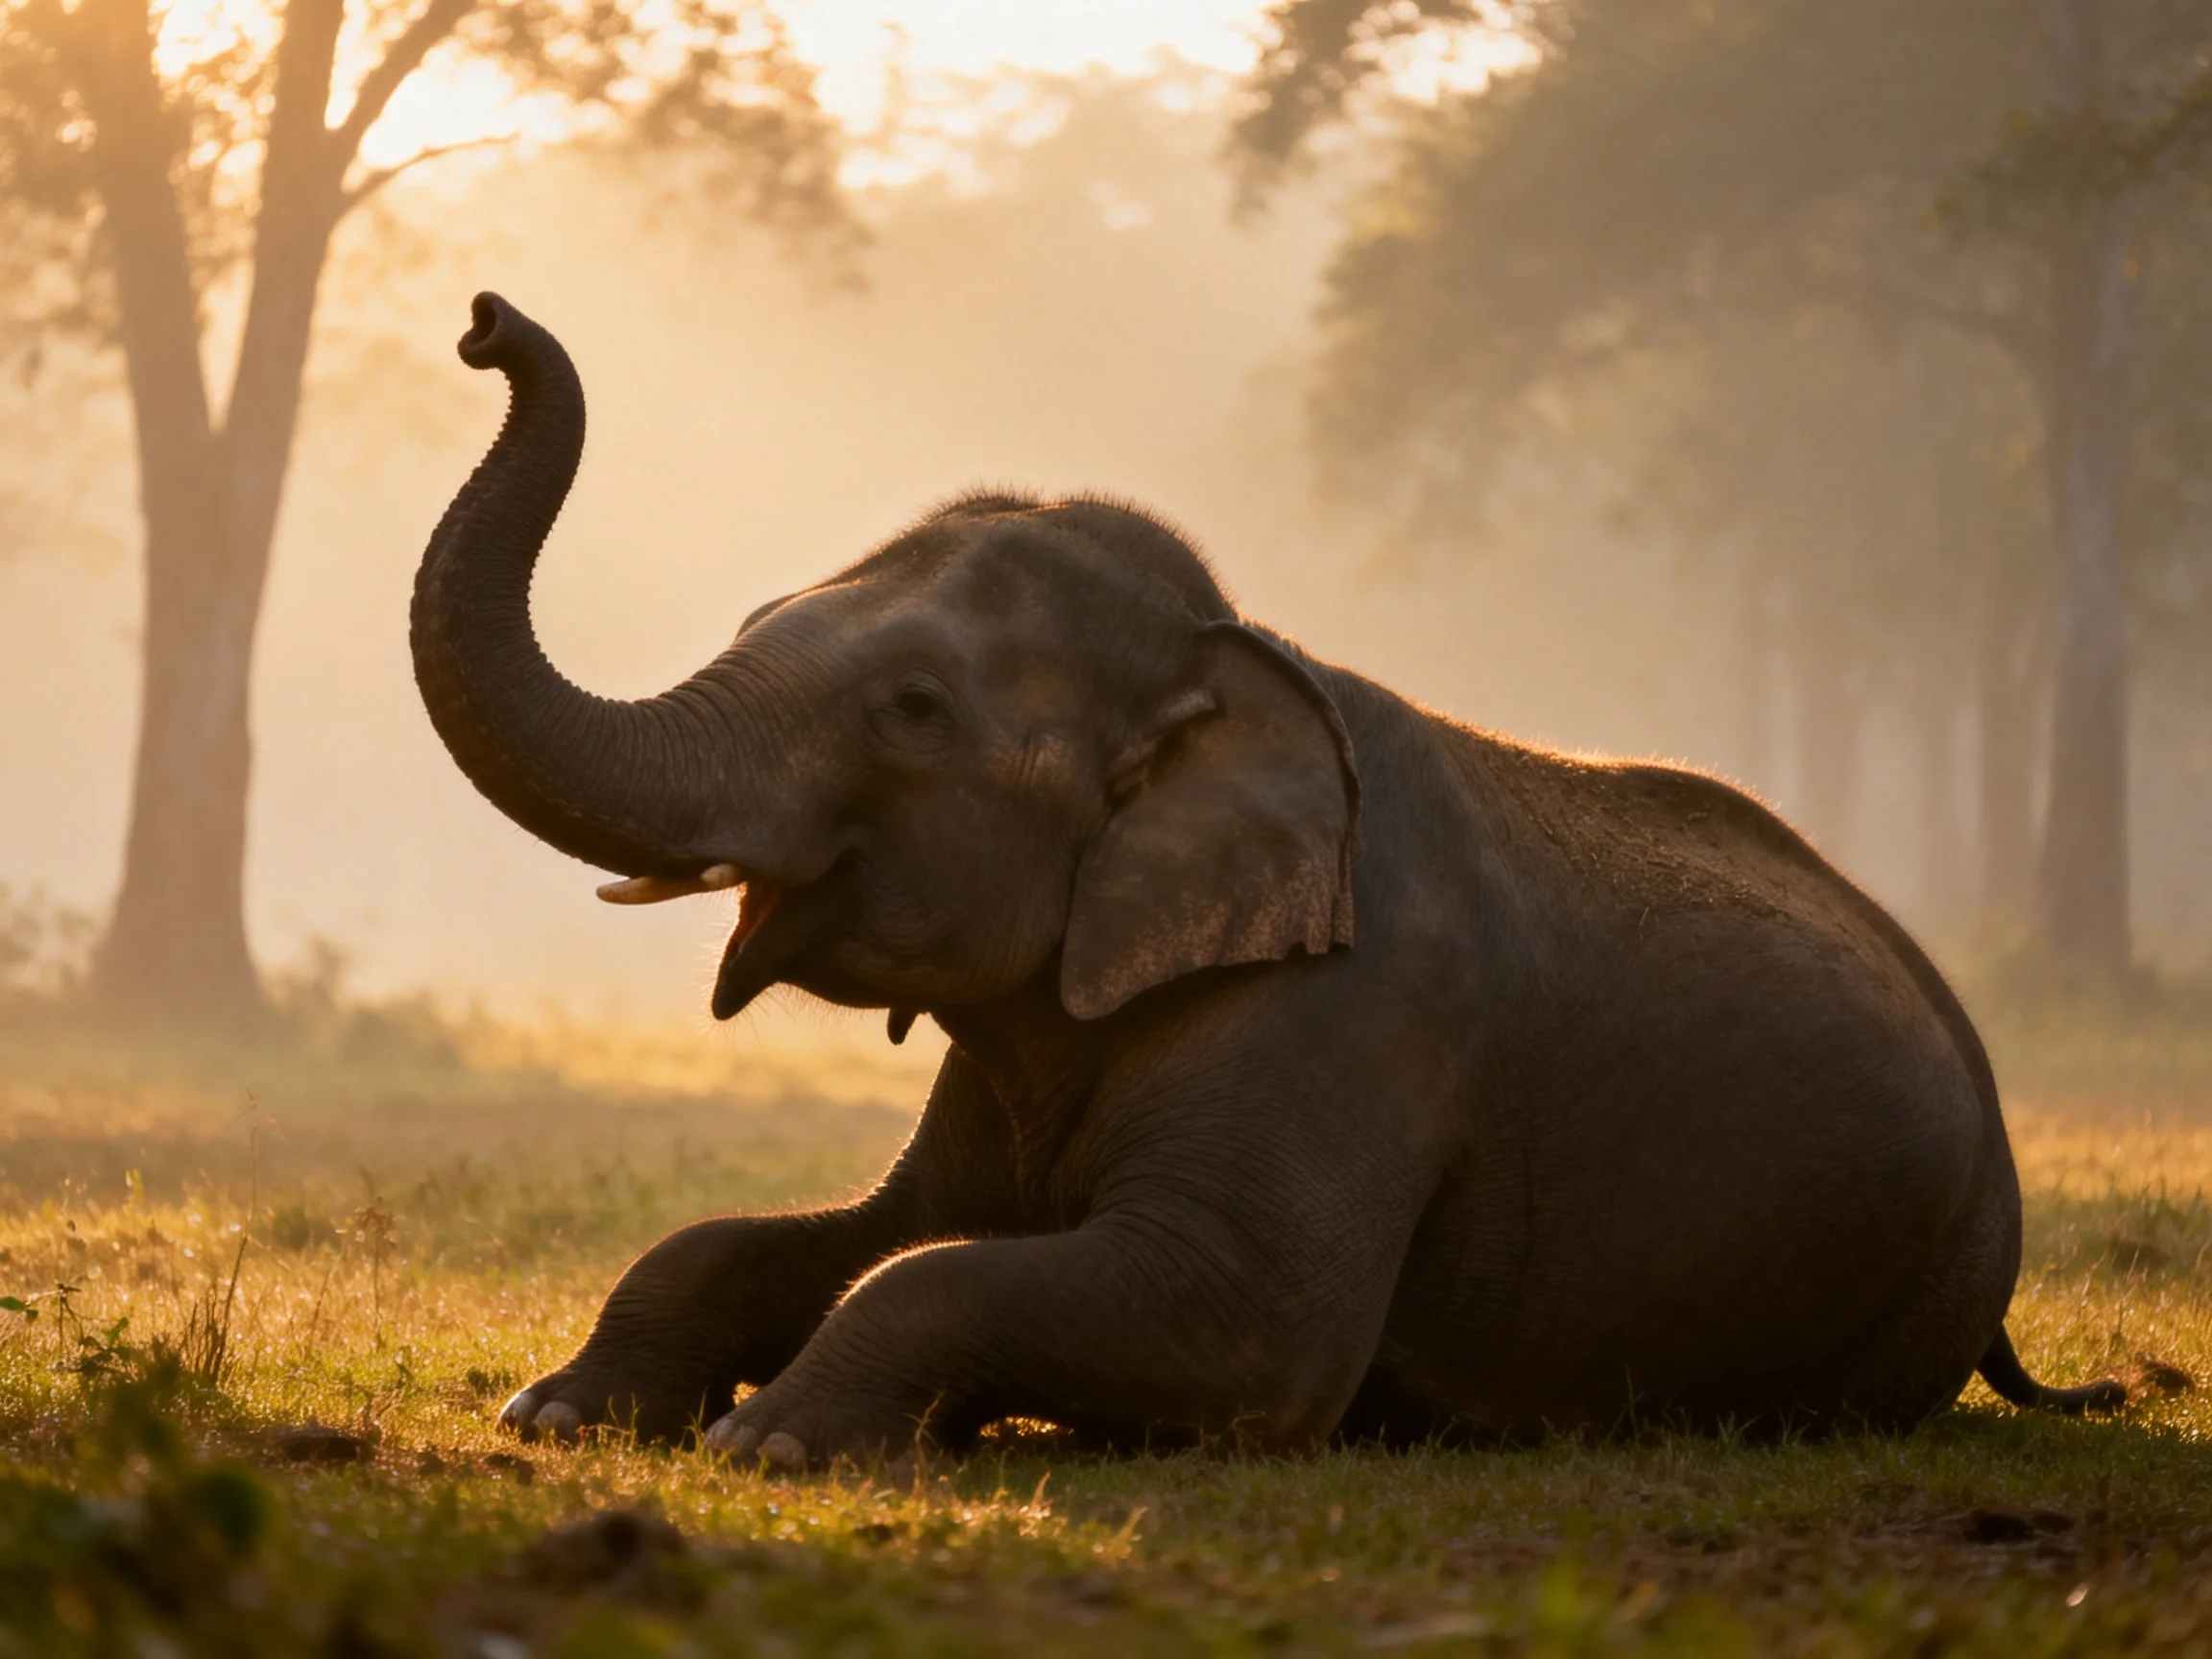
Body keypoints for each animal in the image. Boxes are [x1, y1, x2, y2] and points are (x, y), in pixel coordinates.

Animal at [410, 293, 2128, 1470]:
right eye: (764, 616)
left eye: (912, 709)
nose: (485, 326)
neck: (1226, 662)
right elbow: (863, 1229)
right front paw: (557, 1415)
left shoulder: (1355, 1023)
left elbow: (1237, 1332)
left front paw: (773, 1444)